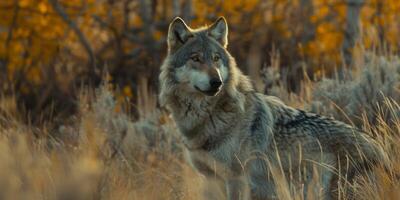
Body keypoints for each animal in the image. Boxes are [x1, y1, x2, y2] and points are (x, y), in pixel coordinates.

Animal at [159, 17, 388, 200]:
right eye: (195, 58)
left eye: (216, 58)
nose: (217, 82)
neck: (205, 118)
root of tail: (381, 150)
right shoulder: (210, 179)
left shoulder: (236, 179)